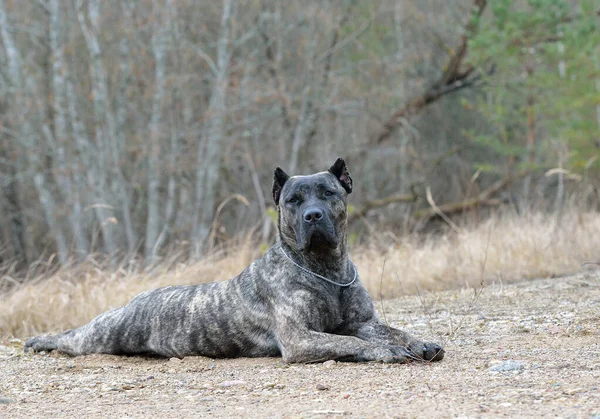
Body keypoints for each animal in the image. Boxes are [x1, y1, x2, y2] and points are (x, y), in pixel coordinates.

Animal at [25, 158, 442, 364]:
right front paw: (387, 352)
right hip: (103, 334)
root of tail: (138, 299)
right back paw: (39, 341)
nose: (313, 216)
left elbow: (394, 330)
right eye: (293, 200)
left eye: (328, 192)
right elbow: (351, 343)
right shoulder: (300, 338)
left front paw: (419, 343)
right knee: (71, 336)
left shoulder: (362, 322)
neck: (325, 270)